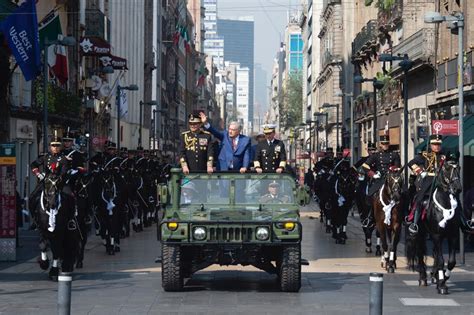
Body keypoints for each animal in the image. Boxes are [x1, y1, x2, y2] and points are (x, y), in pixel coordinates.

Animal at [406, 160, 462, 296]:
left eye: (459, 167)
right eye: (447, 168)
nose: (457, 188)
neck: (445, 204)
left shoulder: (452, 236)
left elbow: (451, 261)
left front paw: (443, 277)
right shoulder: (436, 235)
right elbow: (441, 260)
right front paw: (441, 285)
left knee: (435, 254)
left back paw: (434, 275)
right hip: (420, 233)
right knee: (420, 252)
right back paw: (423, 278)